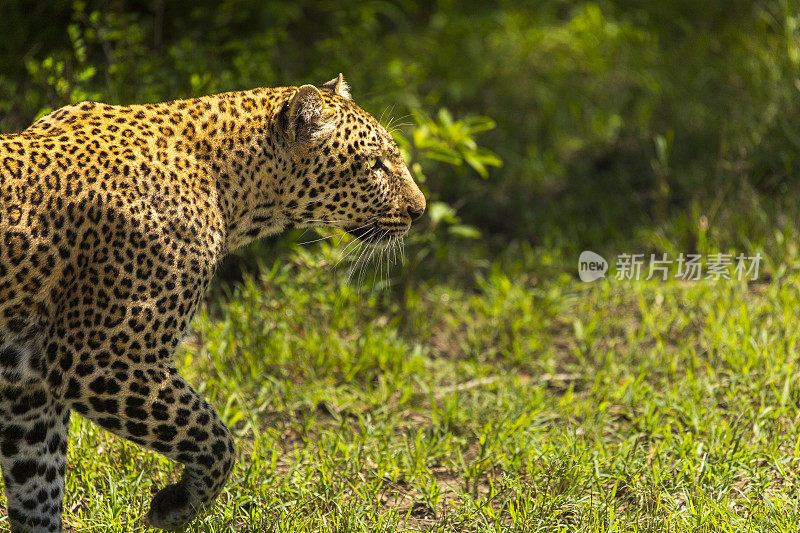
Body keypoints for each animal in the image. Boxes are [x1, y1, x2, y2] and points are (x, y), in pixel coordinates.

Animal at [0, 72, 428, 528]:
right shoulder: (100, 358)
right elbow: (216, 439)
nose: (419, 210)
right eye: (375, 164)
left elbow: (38, 489)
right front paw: (175, 505)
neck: (229, 186)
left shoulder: (28, 388)